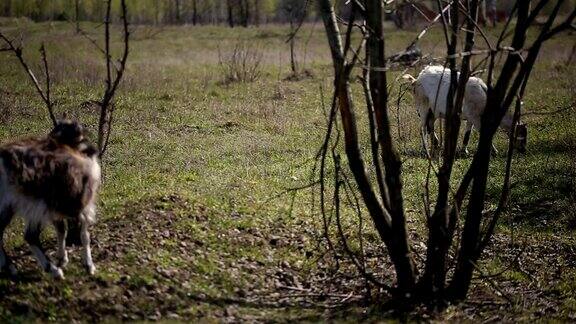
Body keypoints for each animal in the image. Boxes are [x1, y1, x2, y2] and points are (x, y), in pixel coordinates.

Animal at [0, 121, 100, 278]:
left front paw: (62, 259)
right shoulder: (80, 203)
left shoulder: (57, 207)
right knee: (31, 236)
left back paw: (10, 267)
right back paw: (53, 270)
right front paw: (89, 266)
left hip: (8, 204)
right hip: (35, 204)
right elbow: (84, 234)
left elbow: (61, 229)